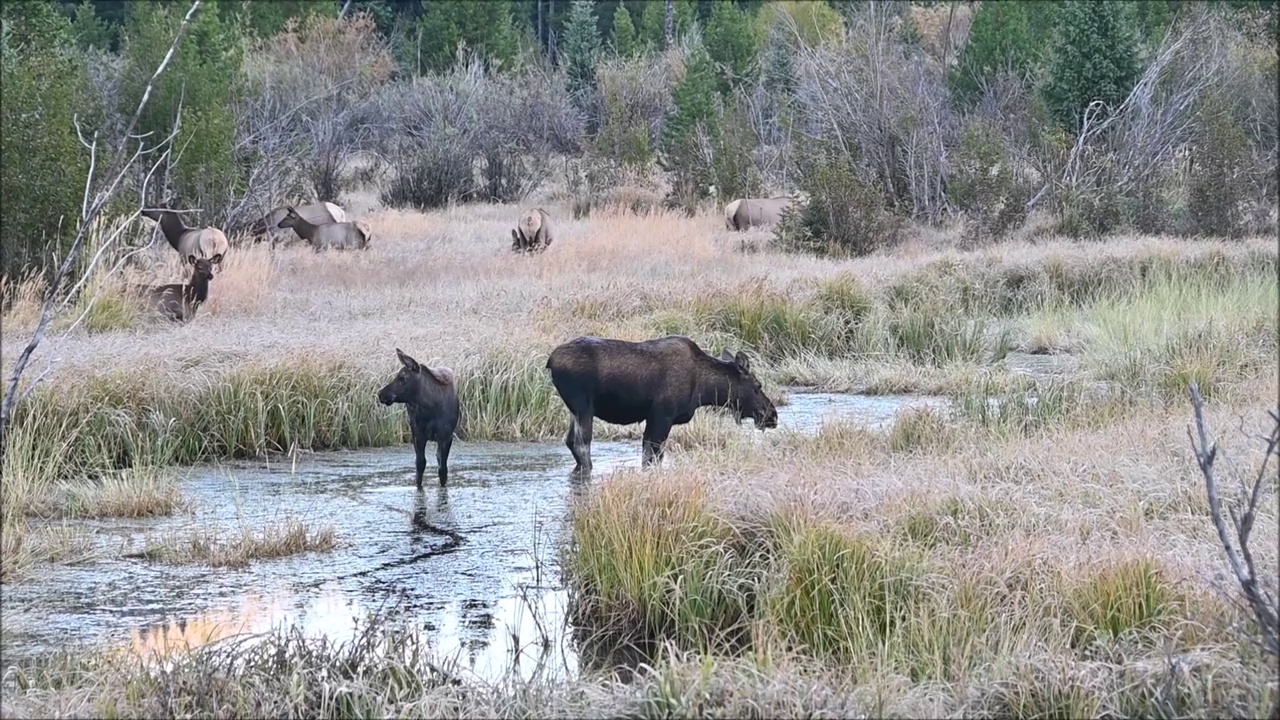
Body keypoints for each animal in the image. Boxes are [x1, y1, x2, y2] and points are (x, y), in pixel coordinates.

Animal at [376, 348, 463, 486]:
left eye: (403, 377)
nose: (381, 394)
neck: (432, 407)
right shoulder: (418, 434)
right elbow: (420, 464)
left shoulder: (446, 436)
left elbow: (442, 469)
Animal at [542, 335, 773, 474]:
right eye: (757, 385)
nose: (772, 415)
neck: (704, 388)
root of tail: (550, 361)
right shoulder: (661, 416)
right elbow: (650, 456)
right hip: (583, 407)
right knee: (582, 444)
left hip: (575, 410)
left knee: (570, 441)